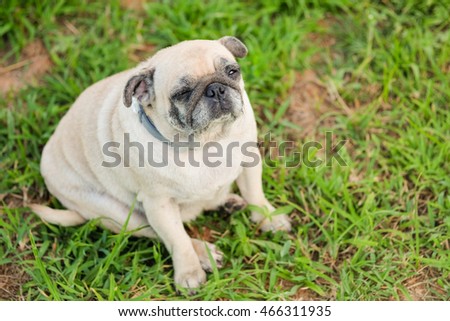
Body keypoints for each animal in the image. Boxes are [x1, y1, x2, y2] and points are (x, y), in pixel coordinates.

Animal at [31, 36, 292, 288]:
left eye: (232, 72)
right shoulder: (159, 205)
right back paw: (204, 253)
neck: (207, 143)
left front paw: (269, 218)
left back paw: (228, 202)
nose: (216, 89)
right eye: (183, 93)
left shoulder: (249, 162)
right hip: (118, 214)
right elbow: (177, 239)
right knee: (158, 232)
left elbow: (255, 194)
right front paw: (189, 272)